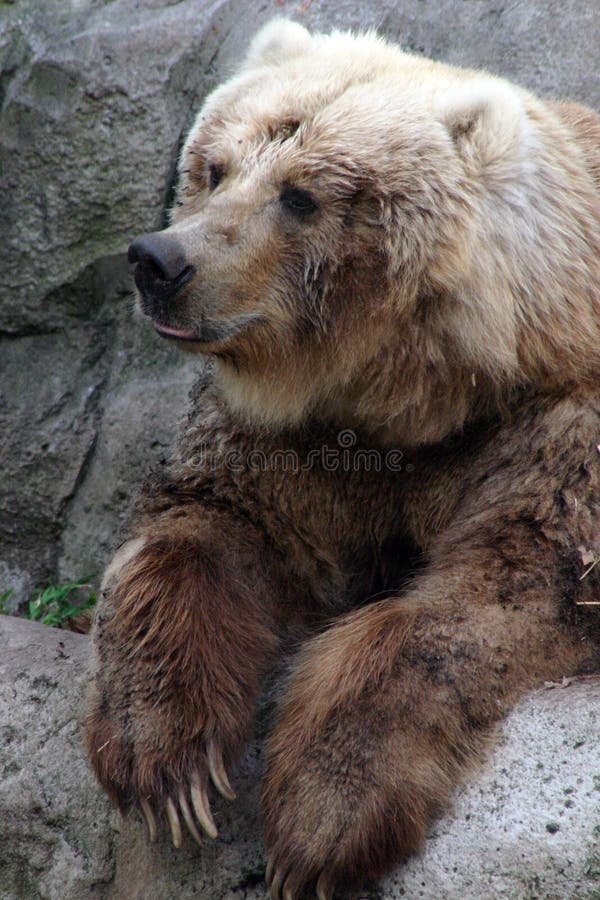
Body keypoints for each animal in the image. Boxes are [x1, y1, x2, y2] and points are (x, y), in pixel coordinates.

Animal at [85, 19, 600, 900]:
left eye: (301, 194)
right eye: (215, 168)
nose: (159, 260)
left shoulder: (553, 424)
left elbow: (503, 586)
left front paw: (320, 820)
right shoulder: (295, 440)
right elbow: (201, 529)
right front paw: (168, 764)